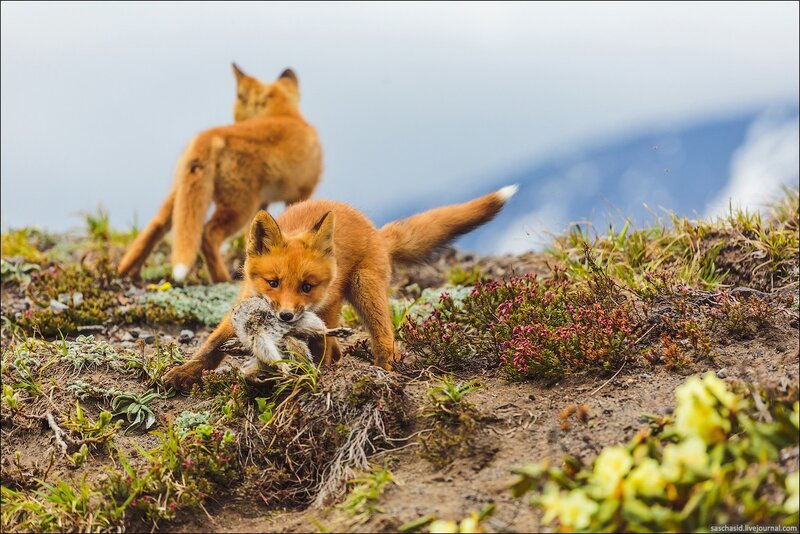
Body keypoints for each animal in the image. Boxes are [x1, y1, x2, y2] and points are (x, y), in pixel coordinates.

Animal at [117, 64, 323, 283]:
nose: (234, 118)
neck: (285, 114)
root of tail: (210, 134)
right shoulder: (301, 193)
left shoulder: (263, 202)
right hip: (239, 207)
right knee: (208, 234)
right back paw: (222, 279)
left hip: (181, 197)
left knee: (154, 228)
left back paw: (126, 271)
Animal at [163, 185, 518, 390]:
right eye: (273, 283)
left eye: (306, 286)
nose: (286, 317)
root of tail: (375, 229)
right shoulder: (243, 304)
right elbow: (211, 347)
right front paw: (184, 372)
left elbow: (322, 349)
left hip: (363, 291)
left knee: (381, 341)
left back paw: (381, 373)